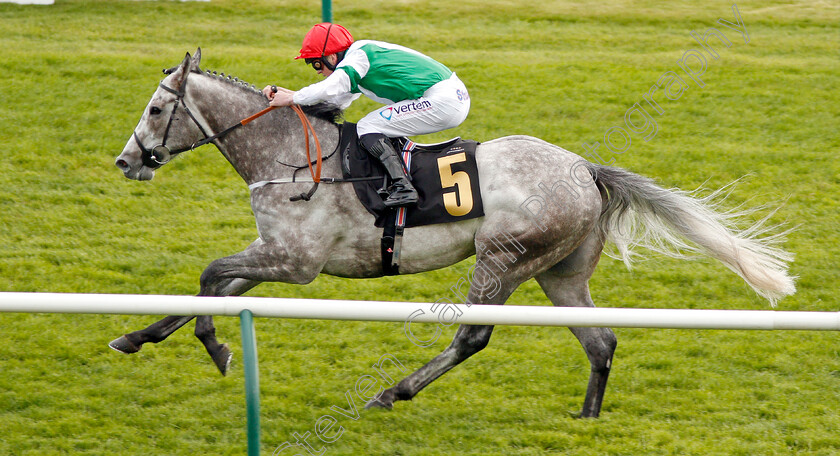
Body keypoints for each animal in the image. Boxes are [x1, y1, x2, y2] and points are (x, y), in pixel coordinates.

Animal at [111, 51, 796, 418]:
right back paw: (588, 416)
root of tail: (584, 168)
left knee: (473, 336)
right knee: (599, 341)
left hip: (502, 259)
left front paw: (216, 347)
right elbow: (214, 287)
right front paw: (136, 335)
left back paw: (392, 393)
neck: (292, 158)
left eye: (155, 109)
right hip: (560, 272)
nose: (127, 161)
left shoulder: (295, 262)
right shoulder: (277, 255)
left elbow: (209, 278)